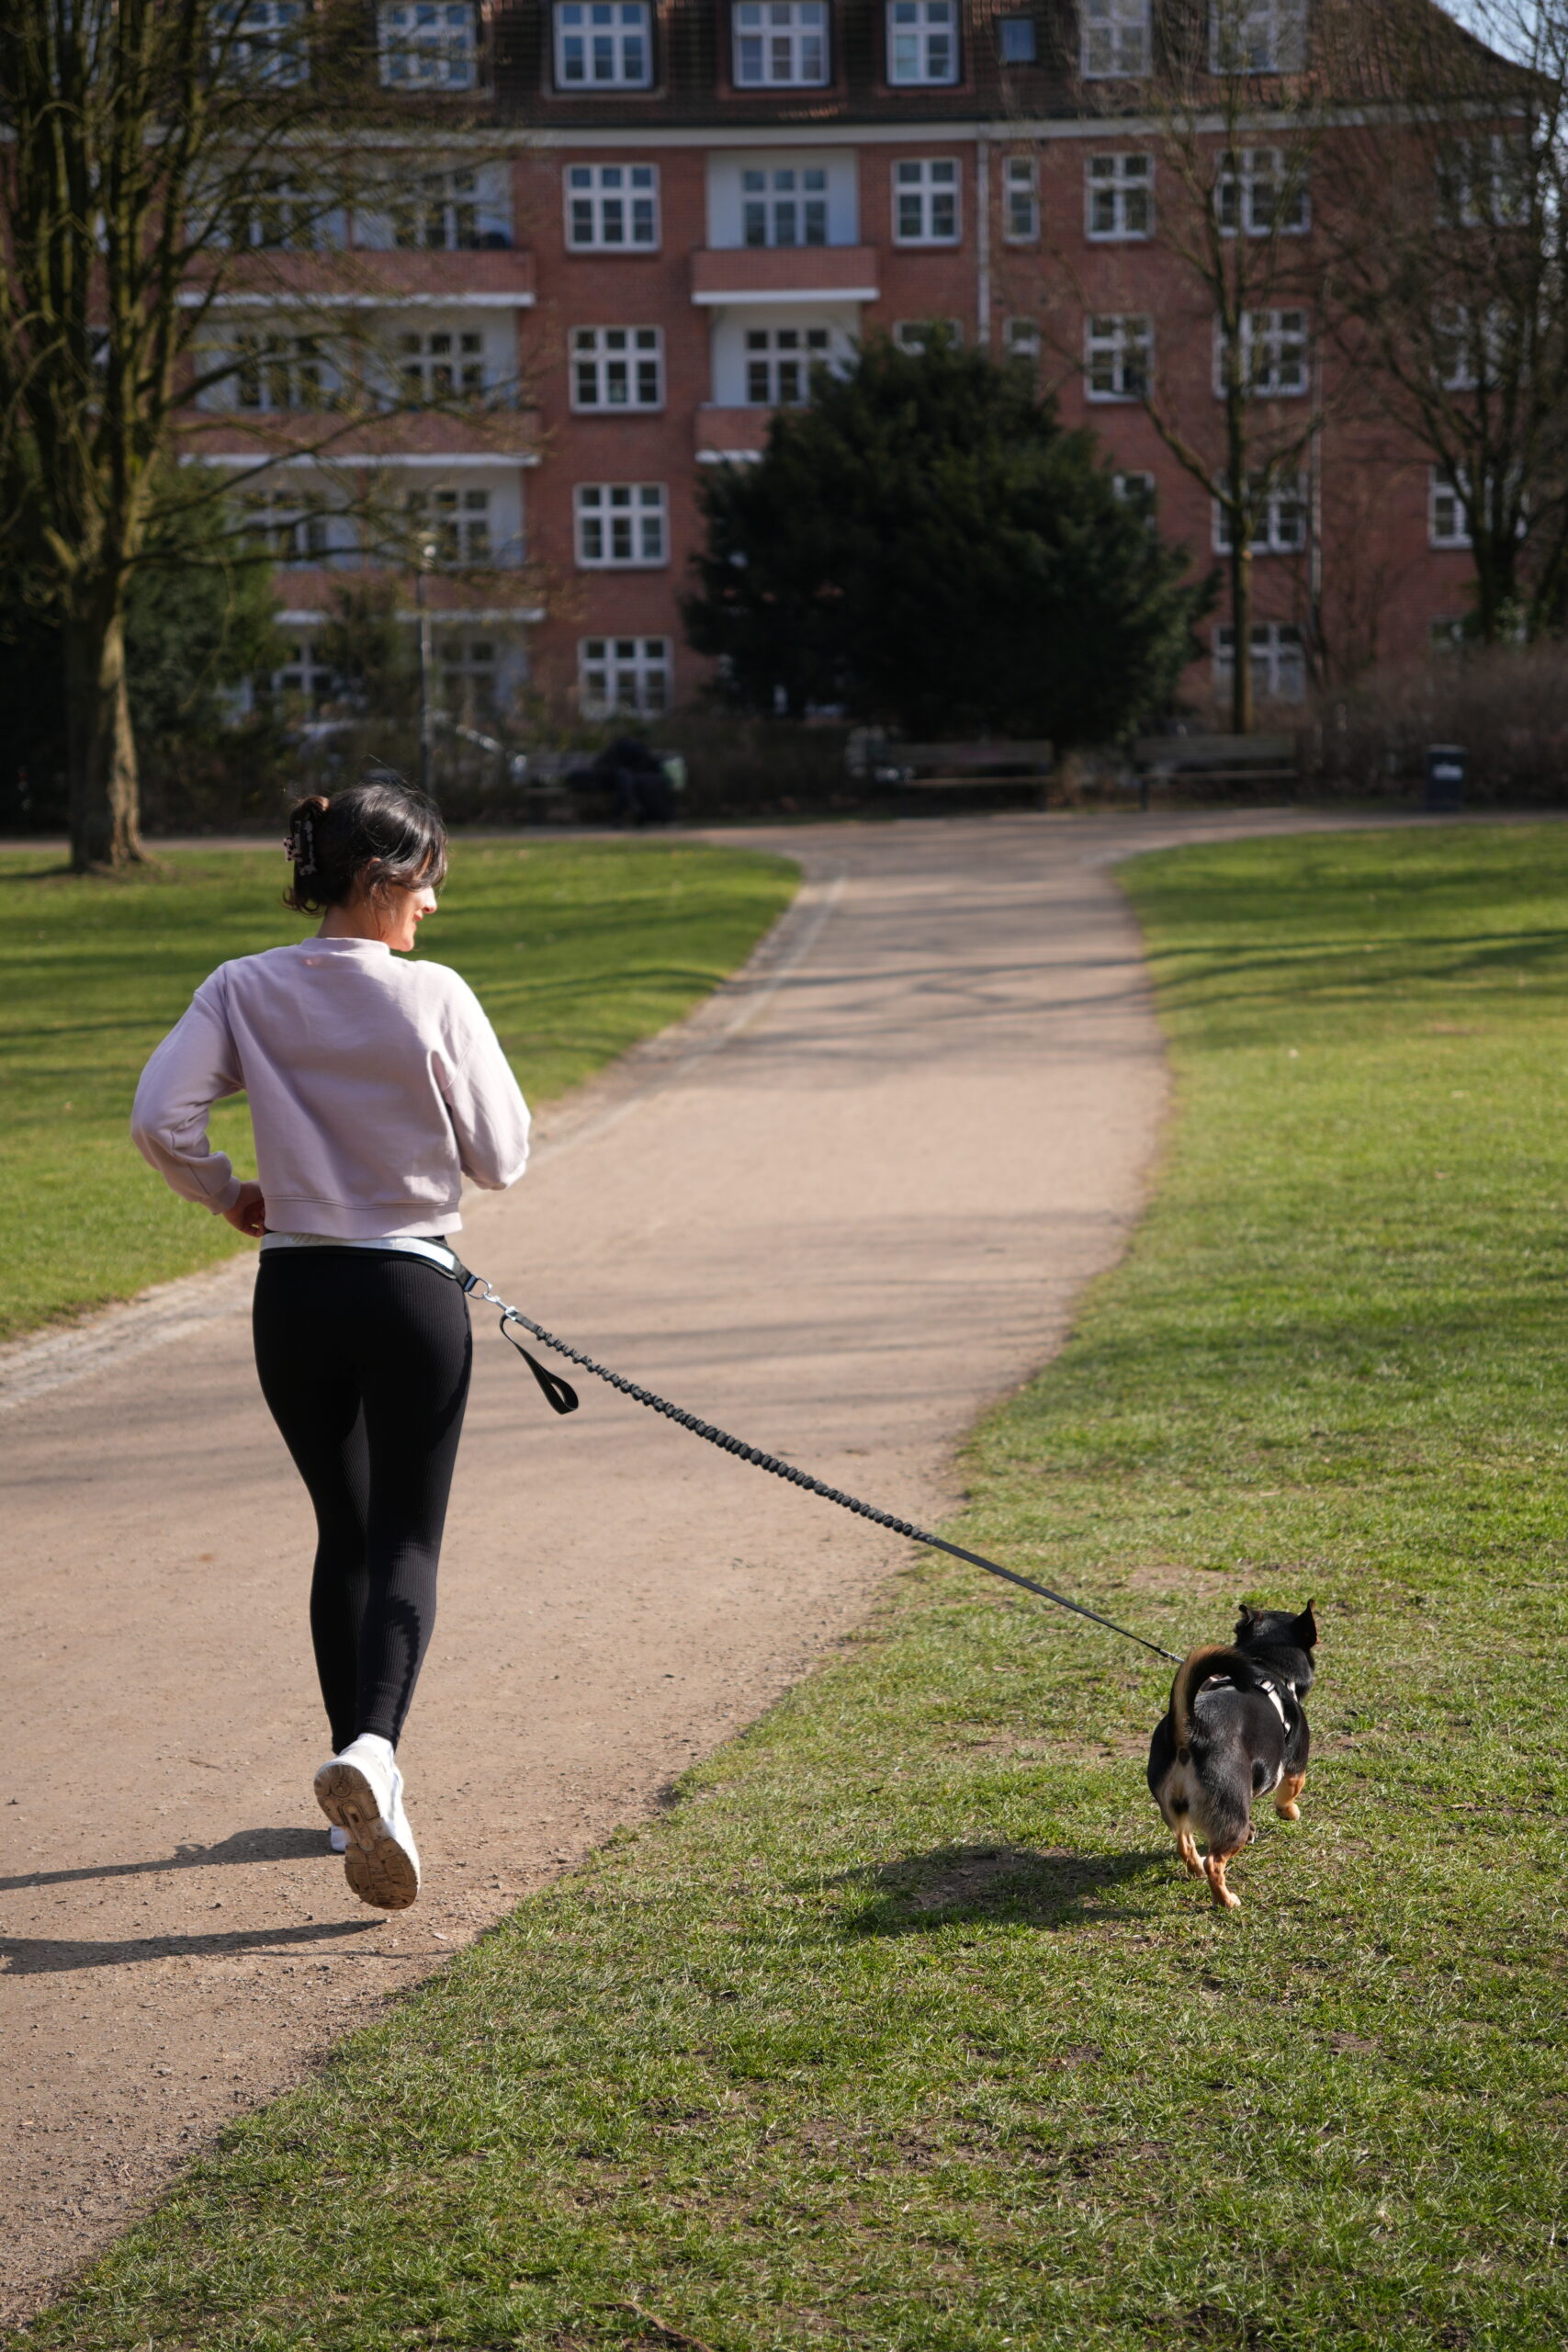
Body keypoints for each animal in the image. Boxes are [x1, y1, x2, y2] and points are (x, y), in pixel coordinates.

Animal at [1146, 1601, 1318, 1910]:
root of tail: (1191, 1729)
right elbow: (1288, 1796)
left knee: (1184, 1842)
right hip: (1230, 1810)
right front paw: (1290, 1812)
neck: (1267, 1665)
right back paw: (1226, 1900)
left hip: (1179, 1808)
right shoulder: (1296, 1767)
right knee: (1215, 1862)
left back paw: (1196, 1869)